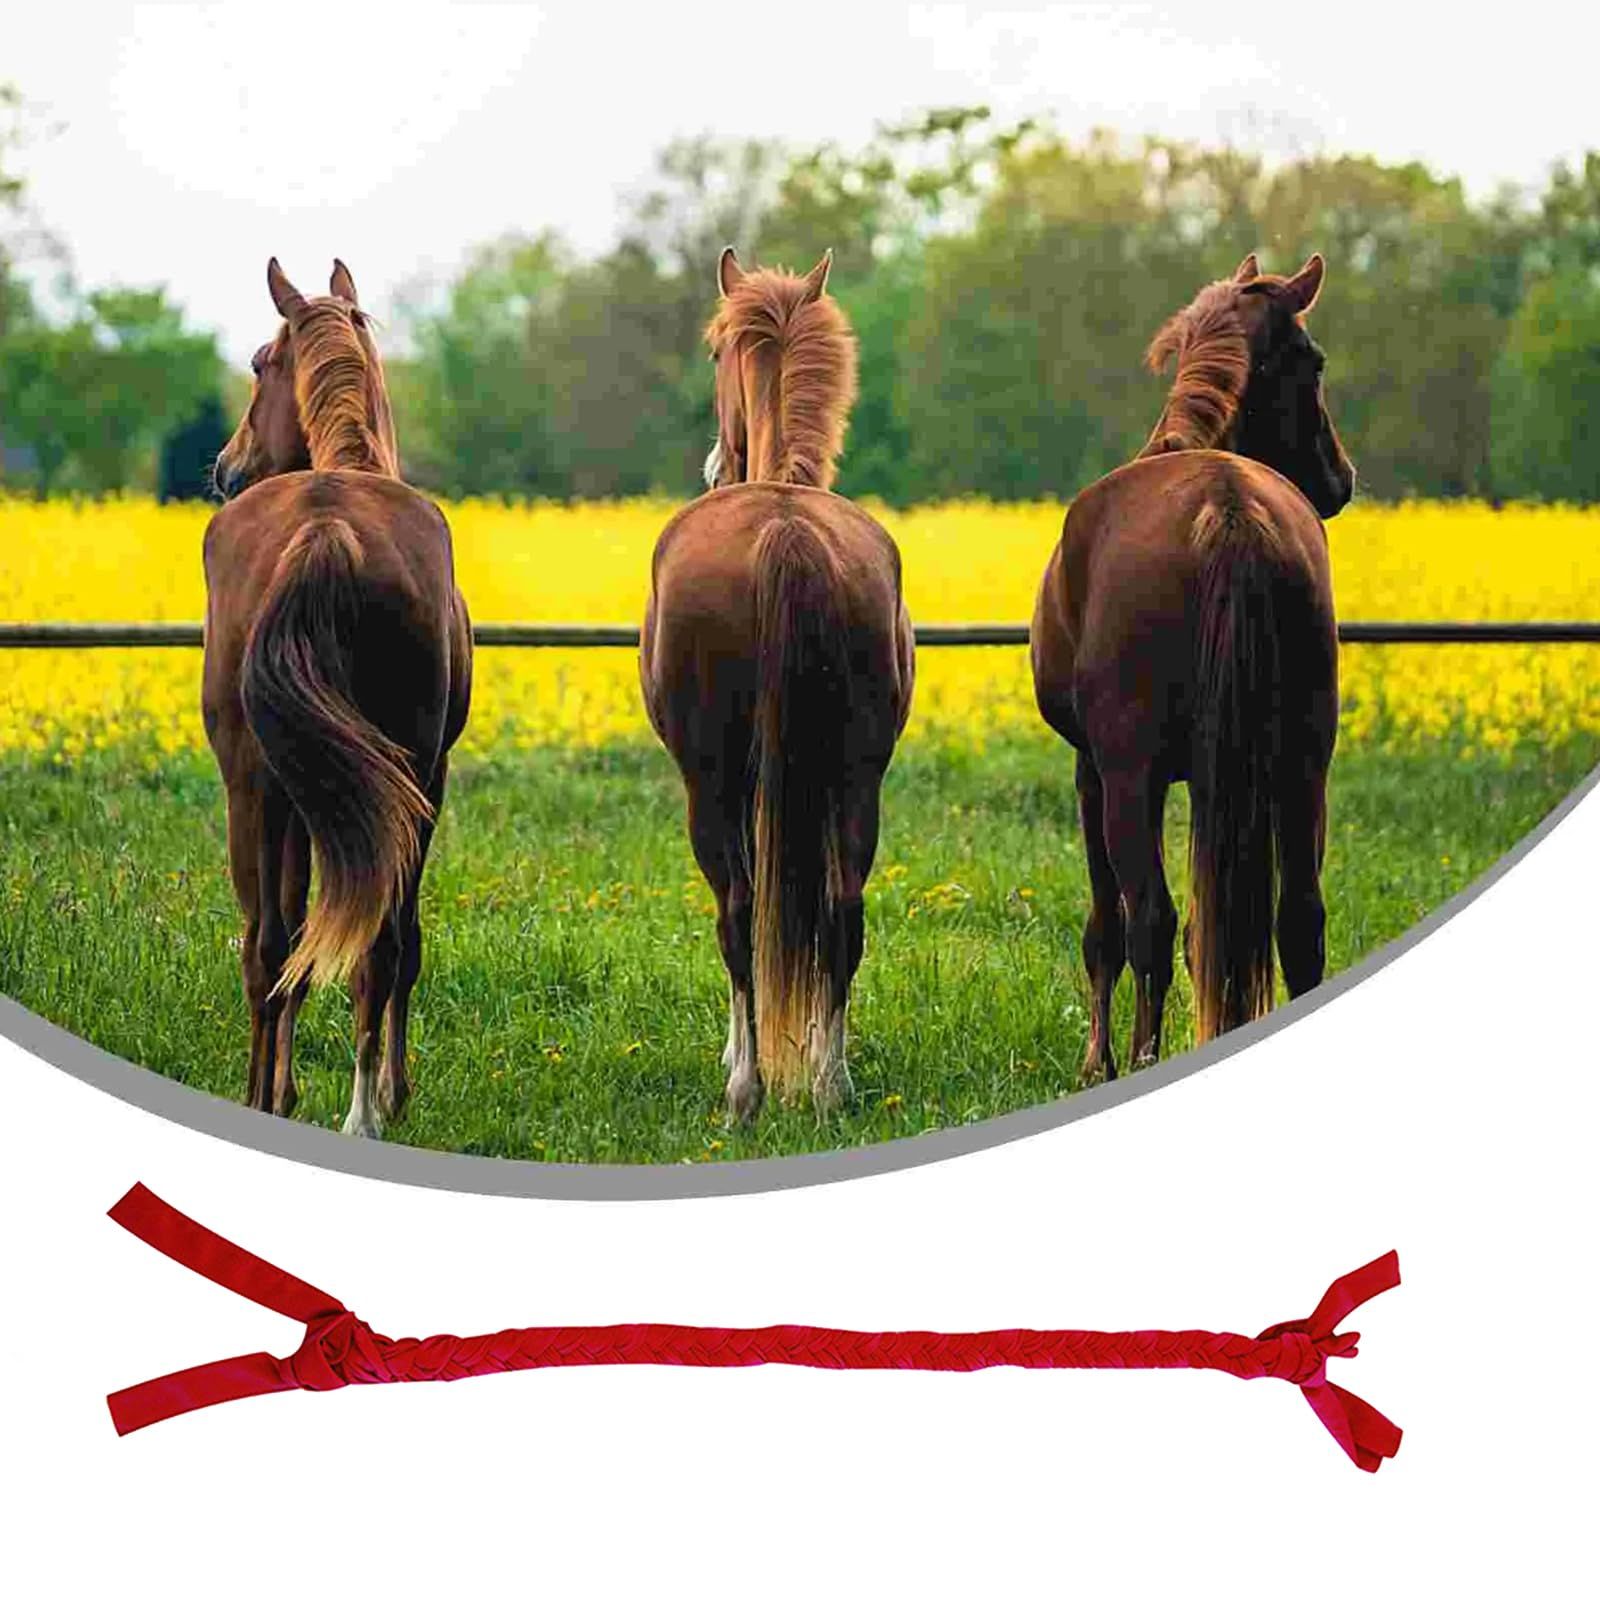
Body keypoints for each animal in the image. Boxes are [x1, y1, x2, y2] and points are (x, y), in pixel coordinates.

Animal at [204, 258, 473, 1137]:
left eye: (261, 363)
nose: (227, 470)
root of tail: (326, 530)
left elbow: (300, 940)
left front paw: (288, 1089)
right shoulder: (421, 781)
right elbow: (391, 942)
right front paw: (389, 1087)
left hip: (255, 787)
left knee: (267, 947)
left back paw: (272, 1102)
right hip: (382, 783)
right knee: (363, 946)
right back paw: (361, 1110)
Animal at [639, 247, 915, 1123]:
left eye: (710, 351)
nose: (712, 464)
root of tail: (787, 535)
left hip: (713, 781)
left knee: (737, 912)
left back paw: (748, 1088)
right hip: (859, 775)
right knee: (843, 907)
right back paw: (831, 1082)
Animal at [1031, 252, 1354, 1083]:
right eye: (1316, 361)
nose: (1341, 479)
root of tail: (1230, 507)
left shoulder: (1092, 770)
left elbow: (1109, 930)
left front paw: (1098, 1061)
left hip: (1129, 779)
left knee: (1148, 919)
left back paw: (1140, 1060)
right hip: (1301, 767)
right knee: (1298, 921)